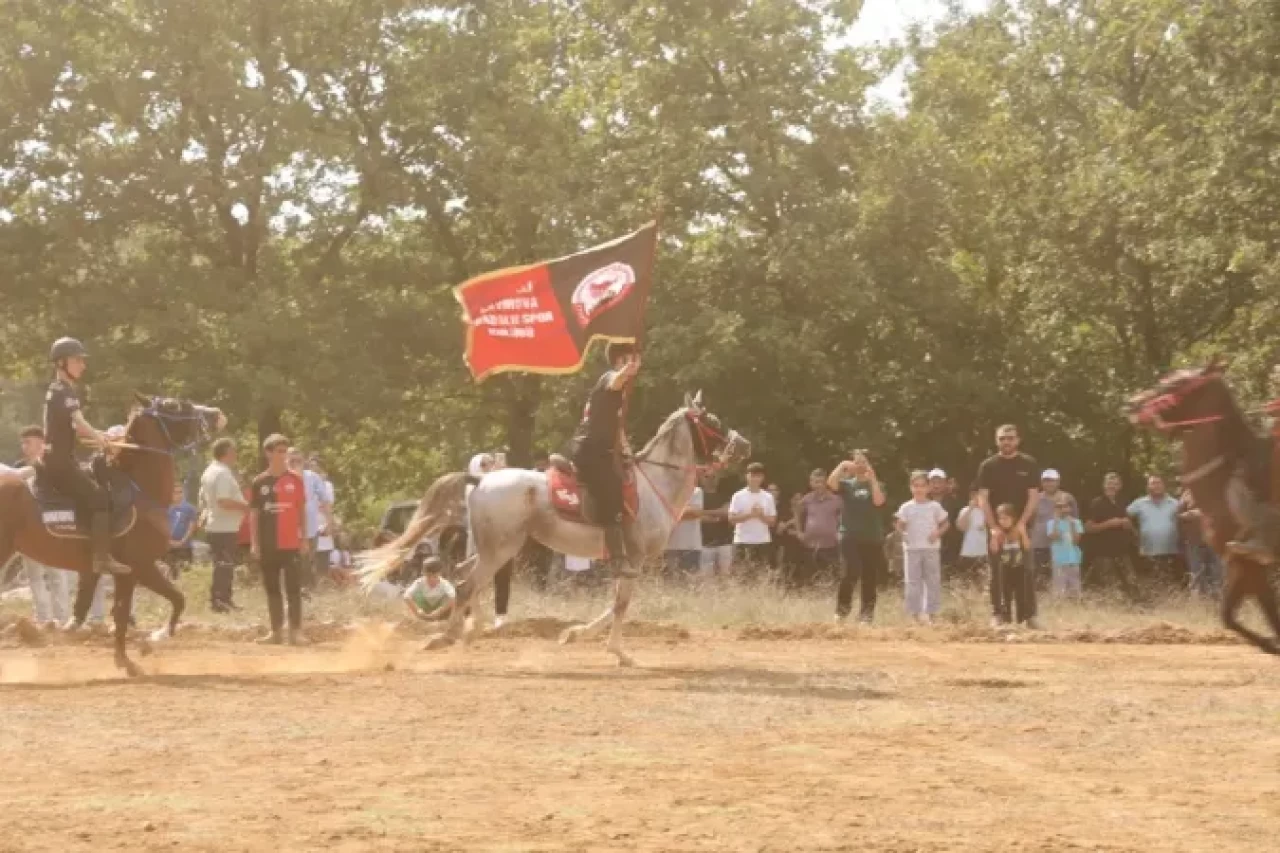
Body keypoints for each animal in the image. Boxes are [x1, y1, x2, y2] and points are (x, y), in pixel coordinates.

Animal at [0, 394, 222, 676]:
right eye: (174, 405)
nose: (216, 414)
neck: (138, 490)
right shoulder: (139, 567)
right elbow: (159, 603)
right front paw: (146, 646)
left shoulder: (118, 573)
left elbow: (119, 610)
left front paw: (134, 650)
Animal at [358, 391, 747, 666]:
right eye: (712, 420)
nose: (743, 444)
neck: (655, 483)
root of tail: (482, 479)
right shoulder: (634, 560)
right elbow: (621, 605)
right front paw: (619, 652)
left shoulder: (623, 562)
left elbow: (613, 603)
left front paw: (575, 635)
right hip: (502, 549)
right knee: (468, 584)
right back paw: (447, 636)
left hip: (487, 548)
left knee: (464, 578)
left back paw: (472, 628)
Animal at [1131, 363, 1280, 650]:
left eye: (1176, 385)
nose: (1134, 402)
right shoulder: (1239, 563)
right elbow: (1228, 618)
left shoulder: (1251, 565)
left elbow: (1270, 616)